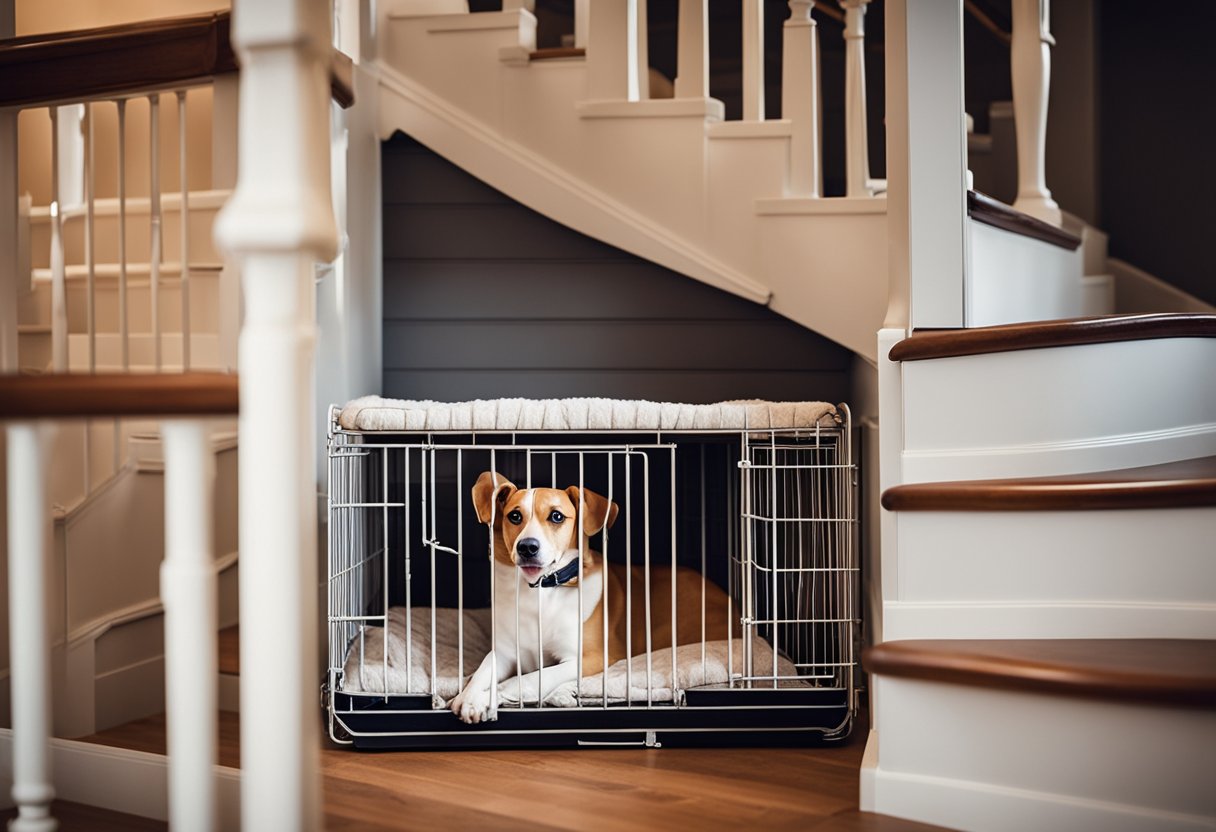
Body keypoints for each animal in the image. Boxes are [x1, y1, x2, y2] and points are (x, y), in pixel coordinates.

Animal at [449, 471, 724, 724]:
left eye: (557, 516)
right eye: (514, 516)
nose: (527, 547)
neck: (541, 592)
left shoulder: (587, 658)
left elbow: (526, 680)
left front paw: (489, 696)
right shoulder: (504, 652)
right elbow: (482, 671)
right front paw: (470, 696)